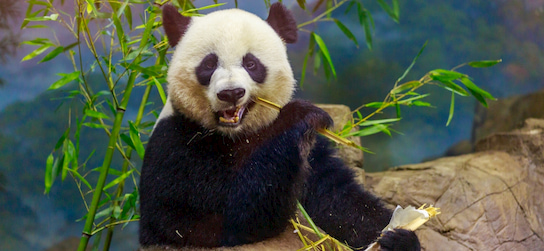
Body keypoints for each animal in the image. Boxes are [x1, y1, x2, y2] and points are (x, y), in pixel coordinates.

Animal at [139, 2, 420, 251]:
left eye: (251, 64)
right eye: (209, 64)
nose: (231, 93)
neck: (235, 135)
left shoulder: (310, 154)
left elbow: (340, 202)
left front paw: (400, 237)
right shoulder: (177, 145)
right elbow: (217, 218)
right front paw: (302, 115)